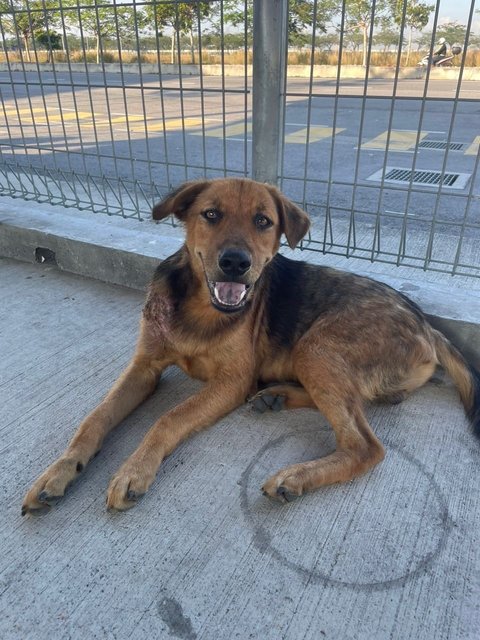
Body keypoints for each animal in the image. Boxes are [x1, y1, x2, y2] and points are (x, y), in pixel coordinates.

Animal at [21, 176, 480, 516]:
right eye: (210, 214)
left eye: (263, 221)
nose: (235, 263)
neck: (200, 308)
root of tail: (426, 324)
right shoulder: (144, 368)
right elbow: (95, 418)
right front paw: (58, 471)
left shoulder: (231, 381)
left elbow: (169, 418)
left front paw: (134, 470)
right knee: (355, 404)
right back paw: (276, 397)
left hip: (316, 346)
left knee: (365, 445)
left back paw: (294, 476)